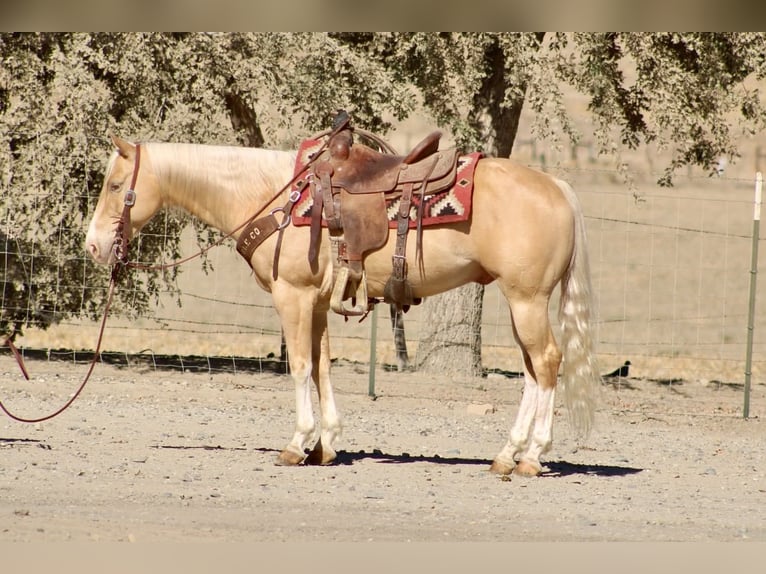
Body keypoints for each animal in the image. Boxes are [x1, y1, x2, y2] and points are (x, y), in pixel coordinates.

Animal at [85, 134, 601, 477]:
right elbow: (321, 366)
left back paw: (531, 456)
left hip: (526, 300)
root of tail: (558, 186)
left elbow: (298, 366)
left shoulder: (292, 296)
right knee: (533, 370)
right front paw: (326, 443)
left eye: (113, 185)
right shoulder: (315, 302)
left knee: (546, 362)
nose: (92, 246)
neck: (274, 196)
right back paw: (506, 455)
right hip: (520, 302)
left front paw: (297, 443)